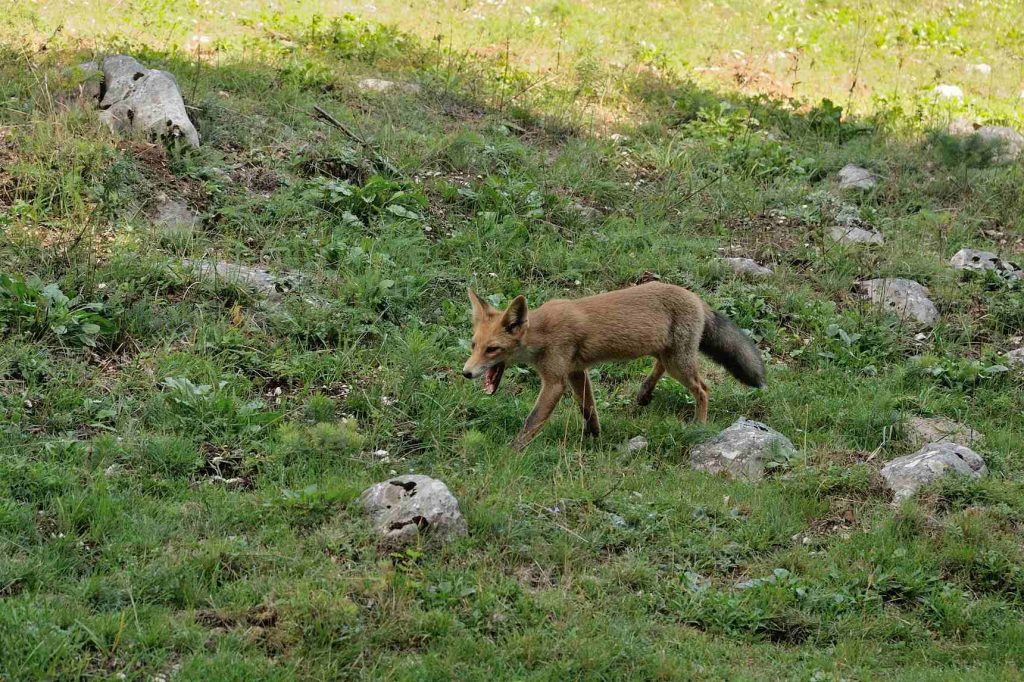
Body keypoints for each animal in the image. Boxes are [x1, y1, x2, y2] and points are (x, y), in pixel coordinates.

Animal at [461, 282, 766, 450]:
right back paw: (644, 393)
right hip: (669, 355)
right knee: (661, 367)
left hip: (680, 362)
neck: (542, 334)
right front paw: (594, 437)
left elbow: (532, 421)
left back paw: (698, 426)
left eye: (492, 349)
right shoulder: (576, 372)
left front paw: (511, 452)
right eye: (474, 345)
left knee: (703, 389)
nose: (466, 372)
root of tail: (697, 298)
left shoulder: (556, 381)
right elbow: (589, 409)